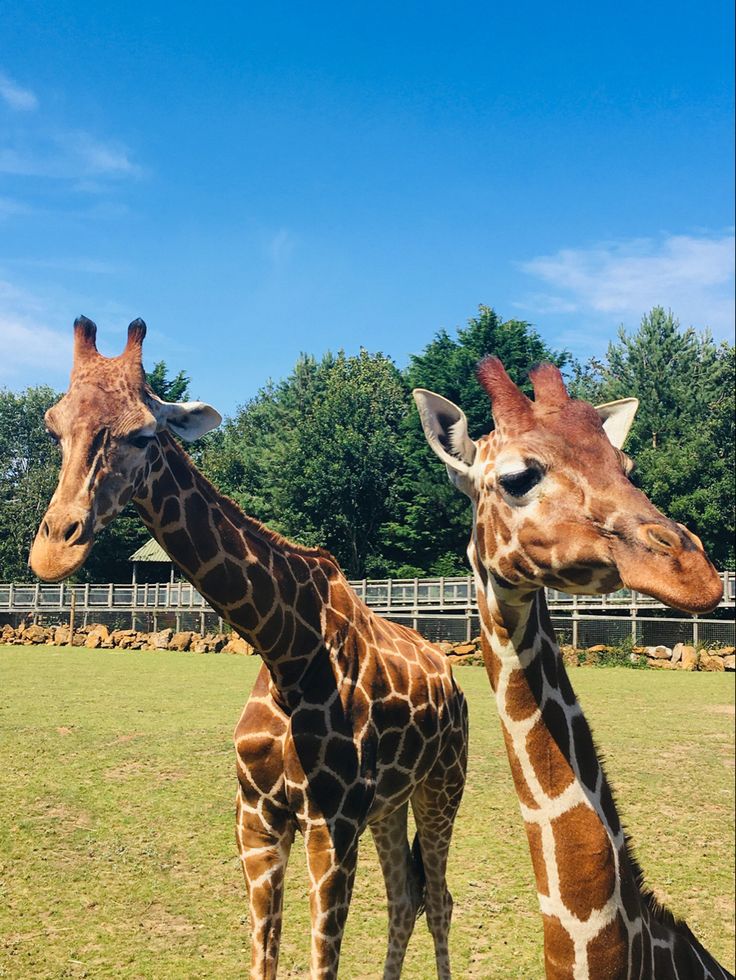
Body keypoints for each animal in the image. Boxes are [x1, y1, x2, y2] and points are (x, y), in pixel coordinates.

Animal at [30, 320, 466, 980]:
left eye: (142, 433)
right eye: (54, 426)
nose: (55, 550)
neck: (286, 651)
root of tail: (454, 678)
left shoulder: (331, 824)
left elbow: (321, 962)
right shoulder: (257, 819)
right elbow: (265, 957)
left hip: (442, 786)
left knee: (437, 897)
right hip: (390, 804)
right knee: (405, 895)